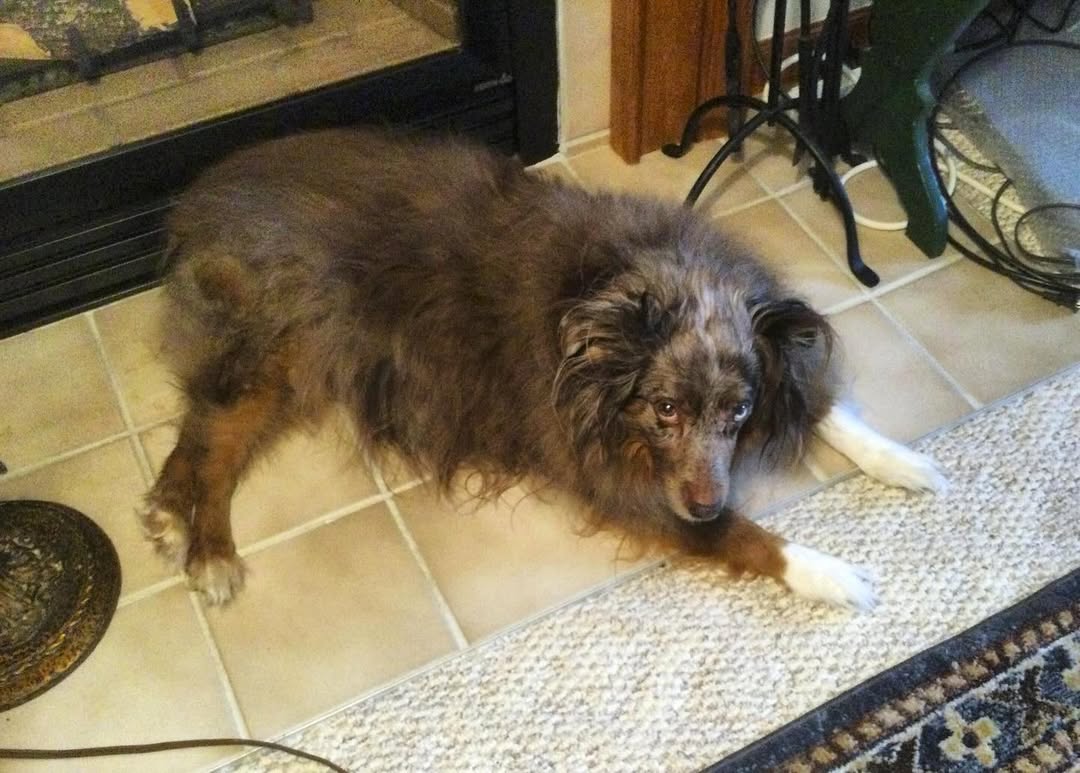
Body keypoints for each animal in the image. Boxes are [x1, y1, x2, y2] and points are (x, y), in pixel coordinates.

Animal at [141, 128, 945, 610]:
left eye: (738, 413)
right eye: (664, 410)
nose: (705, 501)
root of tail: (198, 199)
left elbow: (823, 406)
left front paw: (904, 462)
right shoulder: (612, 474)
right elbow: (744, 537)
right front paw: (828, 573)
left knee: (201, 422)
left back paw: (167, 512)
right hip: (276, 341)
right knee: (214, 437)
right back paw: (207, 550)